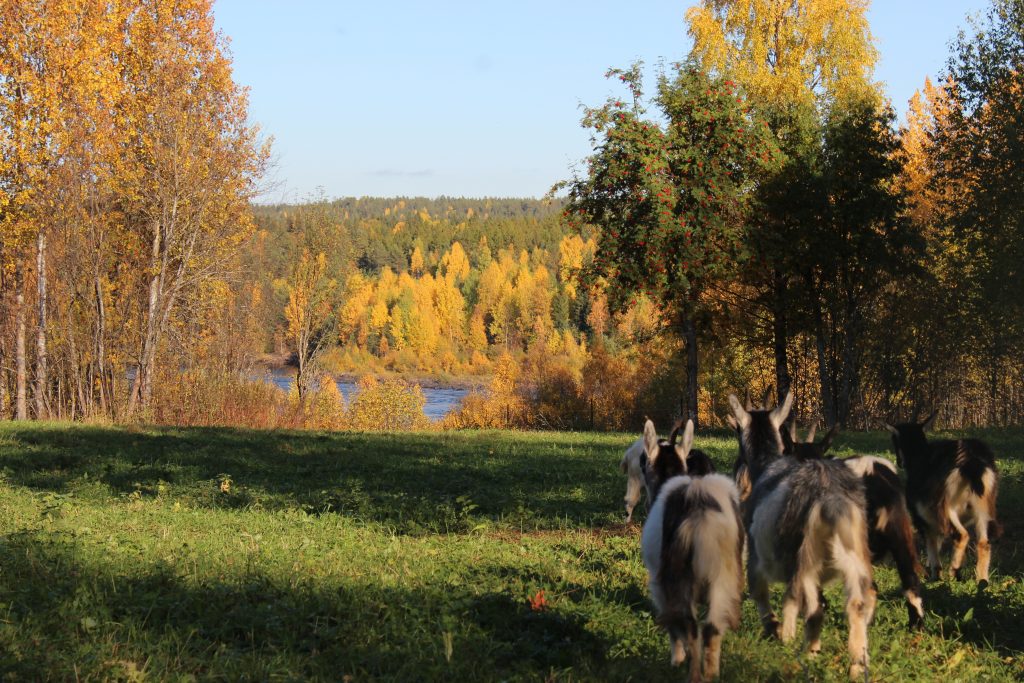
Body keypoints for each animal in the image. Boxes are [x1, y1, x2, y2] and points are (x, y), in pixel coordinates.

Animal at [638, 419, 745, 679]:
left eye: (644, 464)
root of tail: (699, 510)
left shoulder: (659, 584)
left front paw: (676, 659)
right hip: (725, 576)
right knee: (712, 628)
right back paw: (712, 674)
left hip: (677, 576)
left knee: (689, 626)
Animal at [729, 393, 872, 679]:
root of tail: (829, 500)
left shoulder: (755, 556)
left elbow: (759, 592)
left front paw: (776, 631)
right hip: (853, 554)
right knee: (855, 604)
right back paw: (856, 666)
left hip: (803, 559)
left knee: (811, 608)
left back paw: (806, 653)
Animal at [880, 411, 999, 589]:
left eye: (895, 440)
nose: (900, 463)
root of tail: (971, 461)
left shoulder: (922, 515)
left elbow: (932, 542)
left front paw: (935, 574)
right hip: (983, 508)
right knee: (984, 542)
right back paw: (982, 581)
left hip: (945, 506)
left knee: (961, 535)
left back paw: (954, 570)